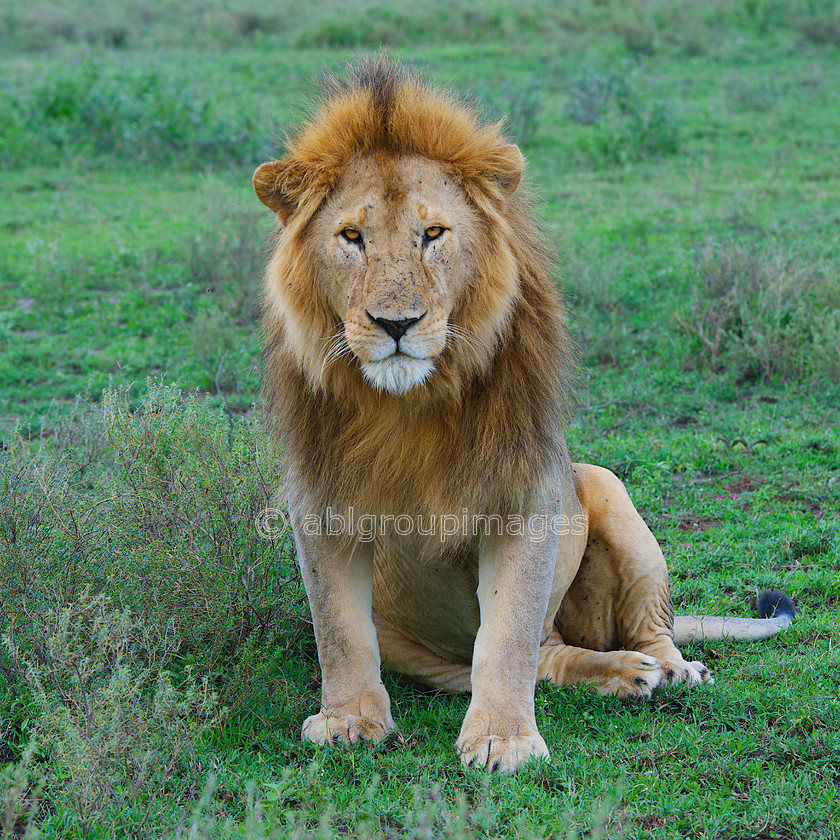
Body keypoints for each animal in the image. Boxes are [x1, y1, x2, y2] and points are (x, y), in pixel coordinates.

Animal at [251, 55, 796, 772]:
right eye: (351, 237)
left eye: (432, 234)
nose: (396, 324)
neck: (408, 406)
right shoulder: (319, 498)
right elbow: (338, 628)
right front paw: (349, 721)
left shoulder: (526, 491)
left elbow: (506, 631)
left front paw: (504, 738)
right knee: (542, 655)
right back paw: (625, 673)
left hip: (603, 488)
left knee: (622, 629)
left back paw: (666, 667)